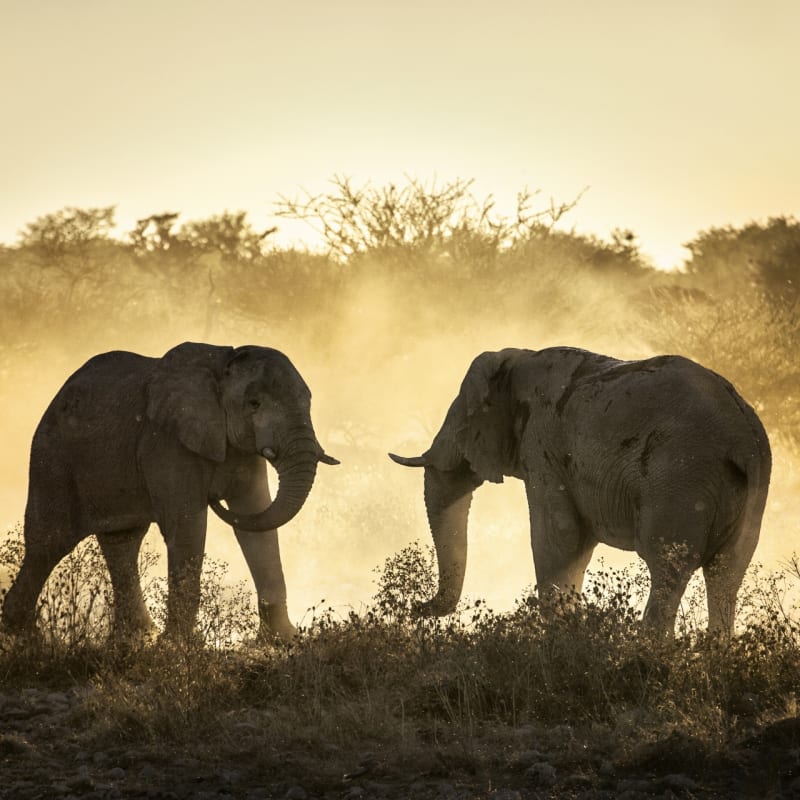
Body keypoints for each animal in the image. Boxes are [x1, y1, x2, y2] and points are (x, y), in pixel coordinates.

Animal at [3, 342, 338, 642]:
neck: (222, 364)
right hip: (52, 460)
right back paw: (24, 637)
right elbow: (189, 525)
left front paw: (285, 640)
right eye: (254, 403)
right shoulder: (165, 442)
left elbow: (256, 519)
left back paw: (137, 638)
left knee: (122, 543)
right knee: (49, 543)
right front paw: (181, 647)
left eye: (309, 402)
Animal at [390, 347, 771, 637]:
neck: (519, 359)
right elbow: (577, 544)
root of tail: (743, 435)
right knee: (726, 572)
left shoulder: (543, 444)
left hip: (679, 478)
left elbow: (558, 536)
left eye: (460, 421)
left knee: (668, 566)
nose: (416, 607)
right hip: (749, 491)